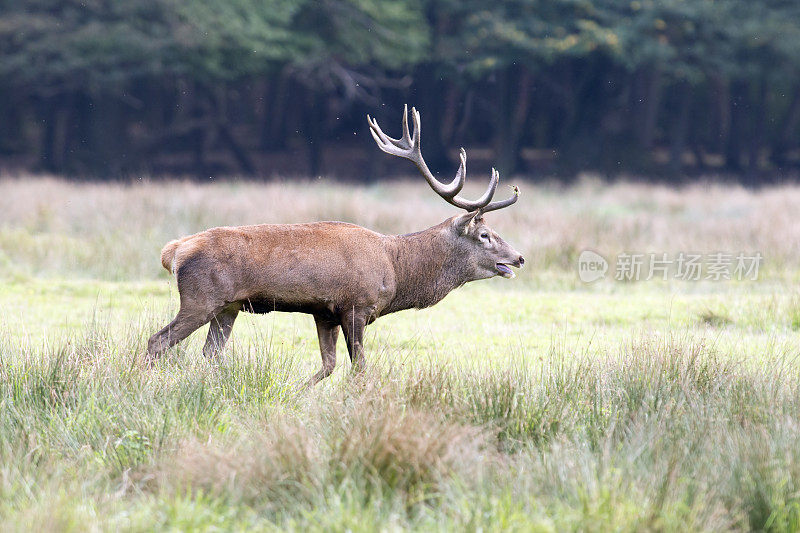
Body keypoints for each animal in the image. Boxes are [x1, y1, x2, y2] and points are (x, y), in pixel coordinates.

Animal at [148, 107, 524, 382]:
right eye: (484, 235)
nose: (519, 258)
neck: (397, 269)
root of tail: (174, 250)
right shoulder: (356, 306)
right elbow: (359, 369)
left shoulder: (324, 313)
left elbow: (327, 366)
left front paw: (297, 392)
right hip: (200, 298)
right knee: (158, 341)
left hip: (229, 306)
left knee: (210, 352)